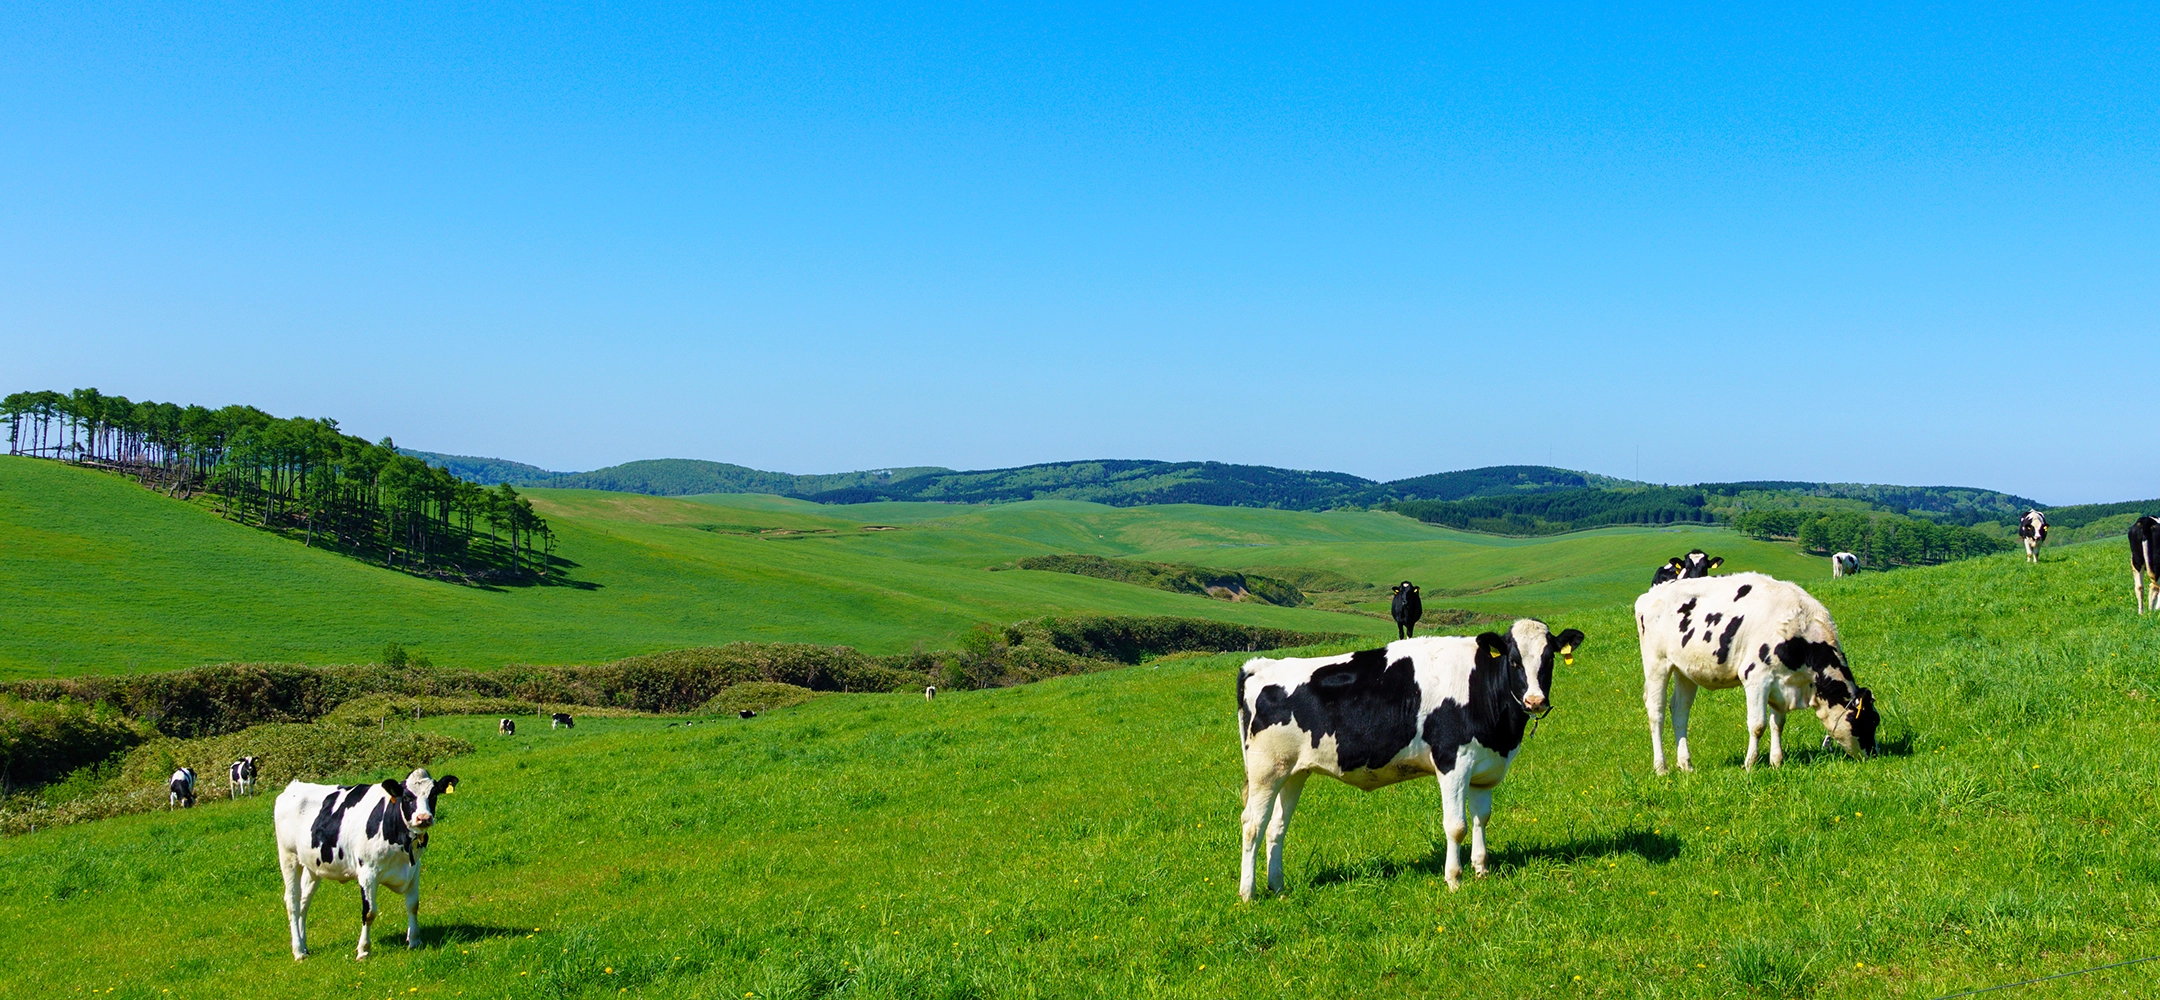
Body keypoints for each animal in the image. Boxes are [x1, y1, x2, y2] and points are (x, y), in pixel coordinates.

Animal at [274, 773, 460, 958]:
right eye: (407, 797)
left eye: (433, 795)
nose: (423, 818)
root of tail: (294, 786)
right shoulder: (368, 872)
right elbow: (369, 912)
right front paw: (364, 950)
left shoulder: (414, 869)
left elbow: (413, 905)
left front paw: (415, 941)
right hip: (288, 857)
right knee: (292, 901)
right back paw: (298, 951)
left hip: (312, 866)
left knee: (304, 902)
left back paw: (304, 946)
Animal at [1235, 622, 1589, 898]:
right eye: (1514, 661)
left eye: (1549, 658)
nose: (1535, 700)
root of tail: (1261, 666)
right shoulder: (1452, 762)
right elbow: (1456, 826)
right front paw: (1454, 880)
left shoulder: (1484, 770)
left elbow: (1481, 819)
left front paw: (1481, 870)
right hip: (1266, 770)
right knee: (1253, 825)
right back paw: (1248, 893)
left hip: (1293, 771)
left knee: (1276, 827)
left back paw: (1278, 888)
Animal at [1632, 570, 1874, 773]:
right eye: (1871, 721)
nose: (1874, 755)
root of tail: (1650, 594)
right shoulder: (1756, 677)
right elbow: (1758, 725)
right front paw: (1750, 764)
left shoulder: (1781, 681)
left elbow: (1778, 724)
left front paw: (1776, 761)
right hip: (1656, 663)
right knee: (1656, 711)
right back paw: (1661, 768)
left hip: (1685, 670)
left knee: (1680, 710)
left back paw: (1686, 765)